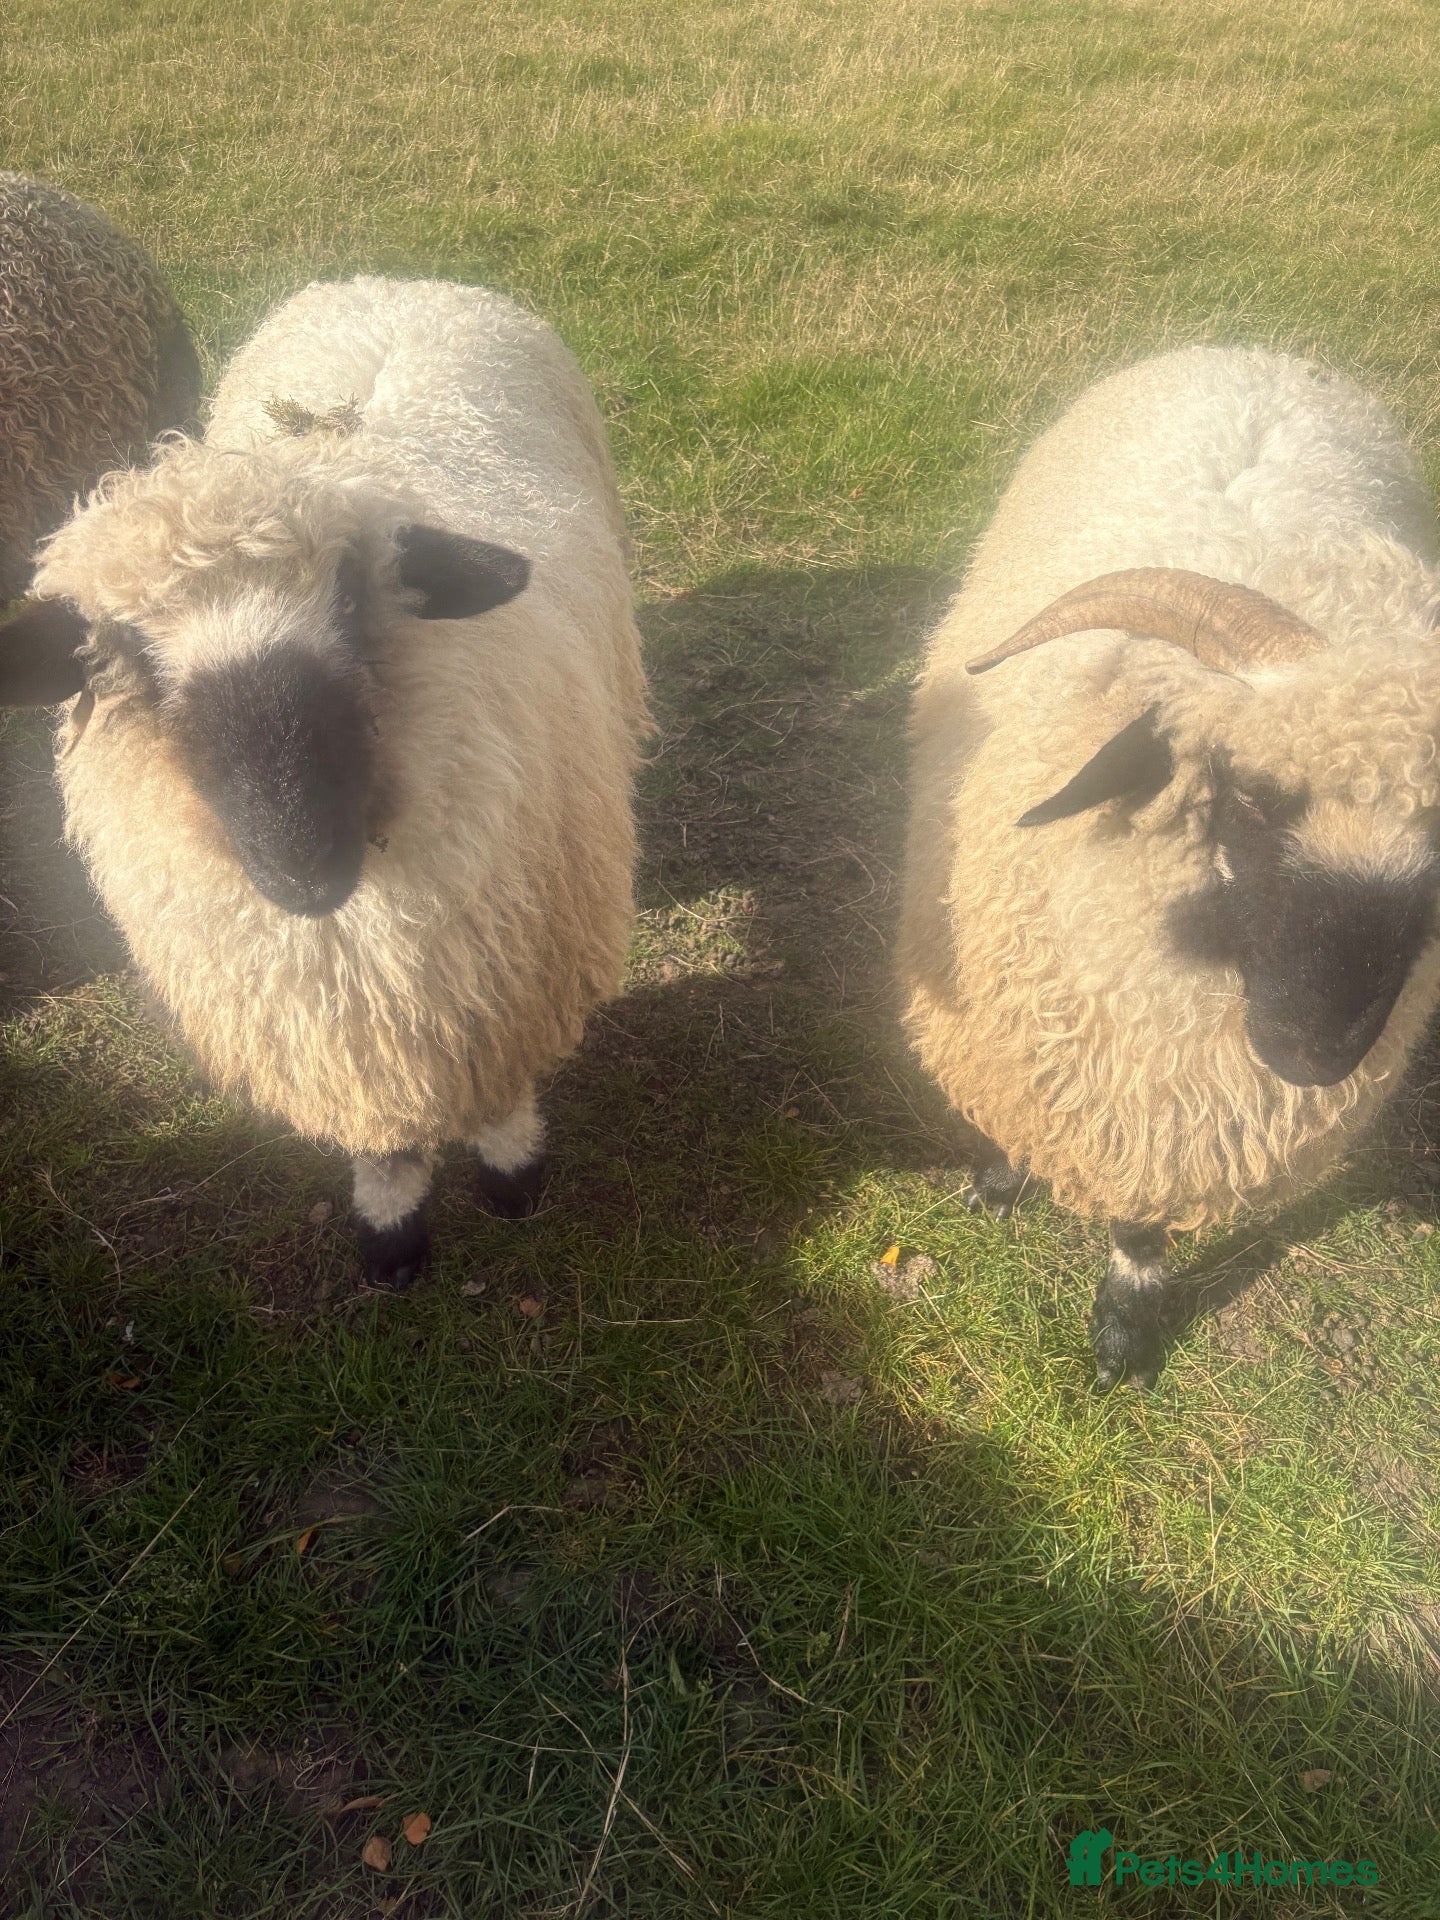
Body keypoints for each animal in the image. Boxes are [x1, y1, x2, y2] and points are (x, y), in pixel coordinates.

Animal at [0, 275, 647, 1286]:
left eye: (351, 600)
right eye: (121, 653)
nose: (301, 864)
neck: (351, 925)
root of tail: (390, 285)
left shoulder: (510, 962)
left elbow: (501, 1085)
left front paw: (514, 1178)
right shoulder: (335, 1020)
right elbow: (384, 1142)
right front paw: (390, 1236)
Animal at [899, 345, 1440, 1389]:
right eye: (1249, 795)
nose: (1314, 1056)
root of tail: (1253, 350)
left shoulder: (1172, 1105)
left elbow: (1141, 1224)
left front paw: (1124, 1331)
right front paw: (997, 1183)